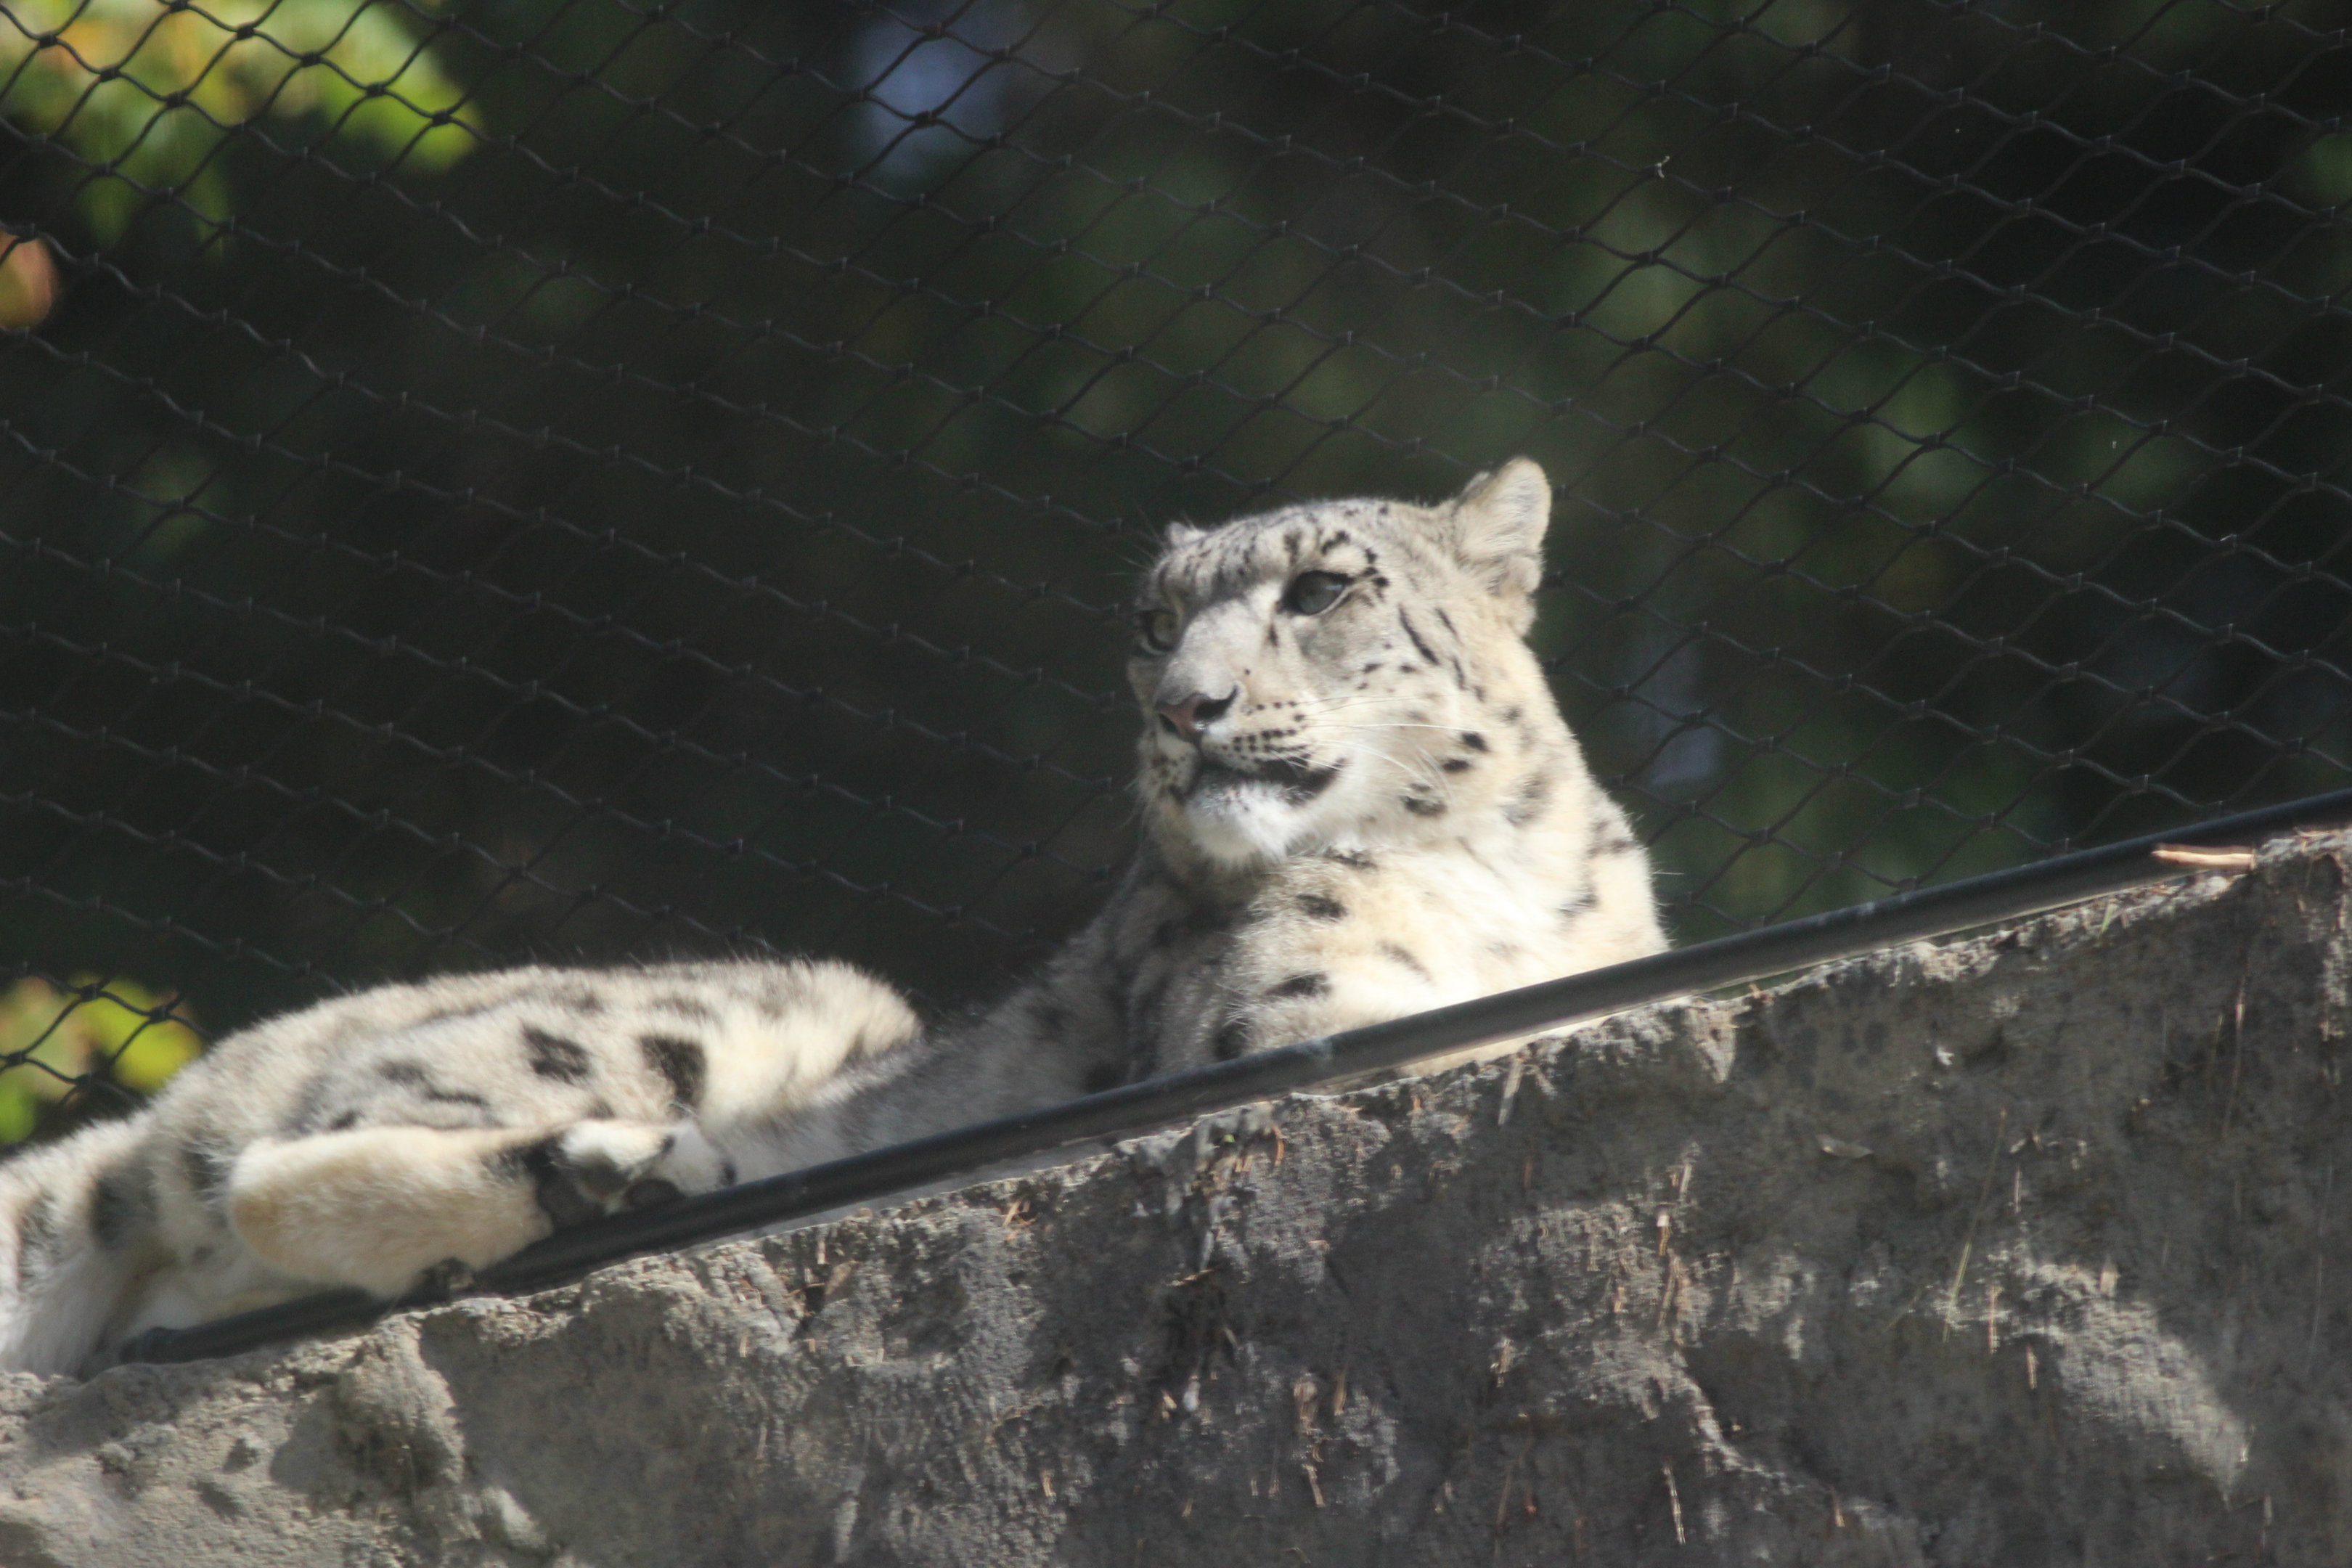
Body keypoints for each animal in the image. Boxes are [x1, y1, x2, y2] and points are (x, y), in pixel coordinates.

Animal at [0, 458, 1661, 1376]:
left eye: (1320, 591)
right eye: (1152, 622)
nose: (1183, 710)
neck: (1496, 867)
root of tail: (188, 1101)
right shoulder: (1281, 1021)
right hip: (769, 1003)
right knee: (271, 1181)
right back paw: (620, 1174)